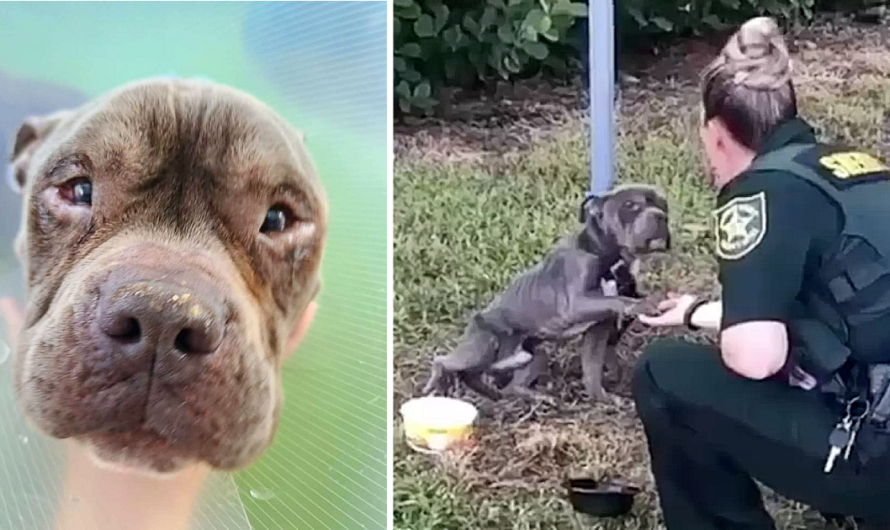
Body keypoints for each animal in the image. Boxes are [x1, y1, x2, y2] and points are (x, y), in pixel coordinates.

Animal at [422, 184, 664, 398]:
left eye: (663, 204)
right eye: (630, 205)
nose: (661, 216)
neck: (607, 257)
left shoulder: (598, 330)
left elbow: (593, 370)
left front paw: (604, 396)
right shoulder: (576, 303)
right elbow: (618, 300)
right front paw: (642, 304)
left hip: (533, 356)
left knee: (503, 385)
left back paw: (521, 397)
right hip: (483, 346)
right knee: (444, 361)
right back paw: (437, 383)